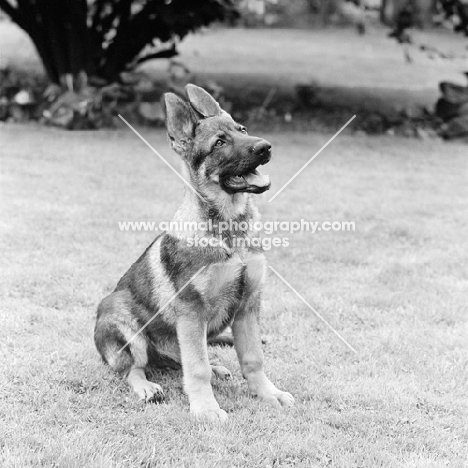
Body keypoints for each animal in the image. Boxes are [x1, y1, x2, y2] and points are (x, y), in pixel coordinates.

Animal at [93, 84, 294, 424]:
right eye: (219, 143)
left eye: (242, 130)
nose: (266, 147)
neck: (229, 230)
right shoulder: (191, 313)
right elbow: (197, 369)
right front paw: (206, 409)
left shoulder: (248, 306)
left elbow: (253, 358)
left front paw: (268, 393)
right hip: (120, 315)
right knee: (133, 367)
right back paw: (146, 386)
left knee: (182, 360)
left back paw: (215, 367)